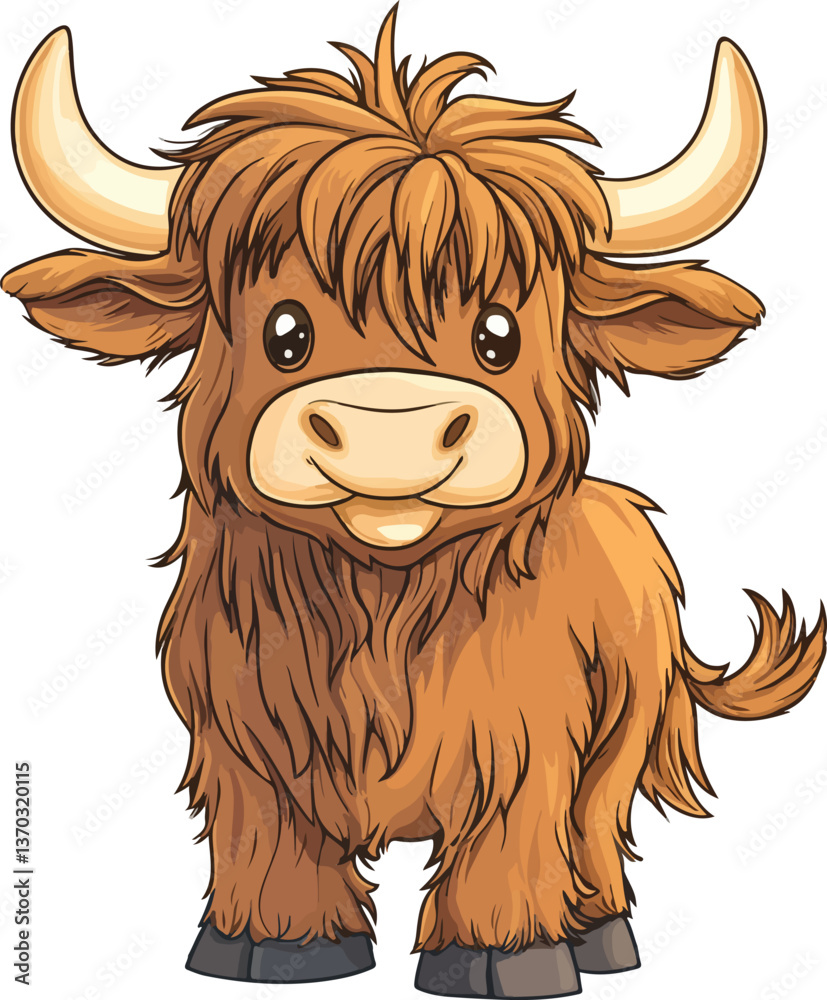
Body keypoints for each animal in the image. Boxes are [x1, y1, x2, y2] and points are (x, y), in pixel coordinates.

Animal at [4, 7, 824, 997]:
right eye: (284, 331)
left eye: (498, 334)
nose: (389, 428)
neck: (379, 613)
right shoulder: (242, 739)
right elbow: (270, 844)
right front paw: (278, 948)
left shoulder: (525, 742)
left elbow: (509, 848)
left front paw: (505, 958)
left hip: (627, 716)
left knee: (593, 824)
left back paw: (602, 936)